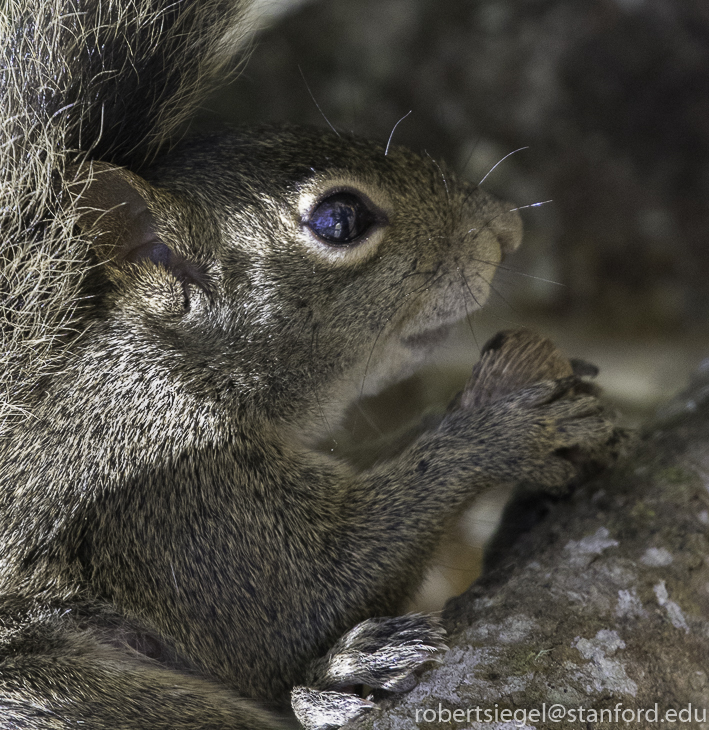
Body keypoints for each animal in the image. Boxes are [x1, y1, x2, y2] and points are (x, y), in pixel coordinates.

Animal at [0, 1, 612, 728]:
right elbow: (305, 602)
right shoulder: (165, 495)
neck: (181, 370)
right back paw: (338, 684)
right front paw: (509, 428)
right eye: (339, 219)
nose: (507, 229)